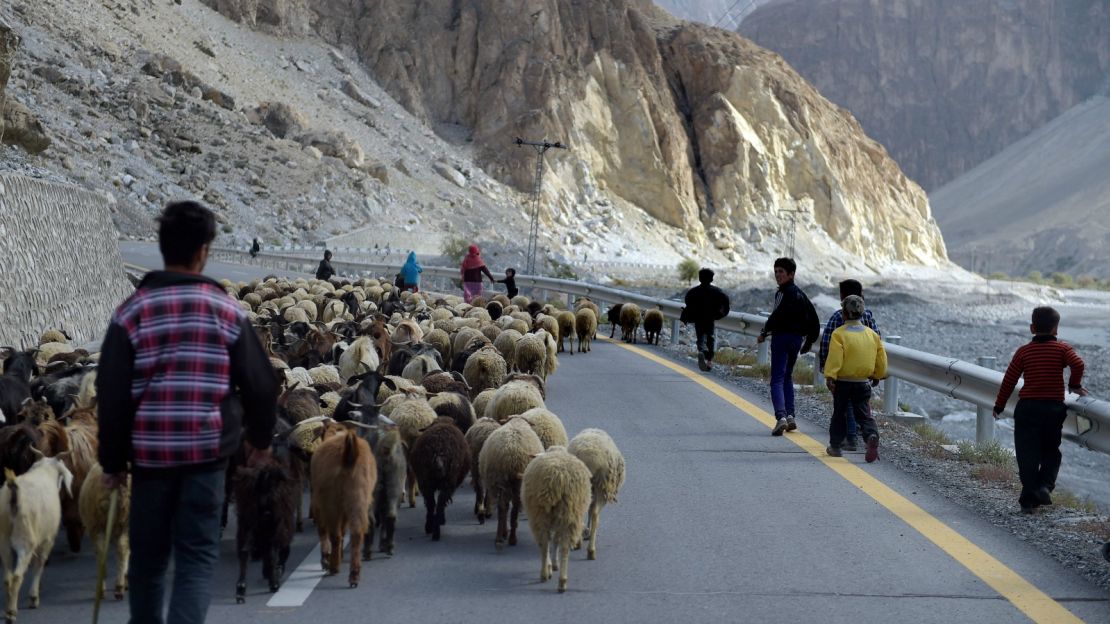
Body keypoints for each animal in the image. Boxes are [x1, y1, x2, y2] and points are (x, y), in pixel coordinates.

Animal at [0, 446, 72, 617]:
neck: (44, 471)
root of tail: (15, 493)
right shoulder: (48, 539)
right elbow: (39, 564)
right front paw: (34, 597)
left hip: (4, 539)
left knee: (7, 577)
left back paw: (8, 608)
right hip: (25, 539)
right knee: (17, 576)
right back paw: (11, 612)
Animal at [521, 444, 594, 590]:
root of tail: (557, 477)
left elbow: (553, 541)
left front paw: (553, 564)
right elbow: (555, 541)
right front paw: (553, 565)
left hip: (542, 512)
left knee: (545, 543)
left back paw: (549, 574)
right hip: (567, 513)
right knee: (561, 546)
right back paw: (559, 579)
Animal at [572, 426, 626, 559]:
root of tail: (591, 459)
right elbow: (591, 510)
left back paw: (581, 543)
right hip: (601, 487)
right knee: (595, 513)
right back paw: (589, 549)